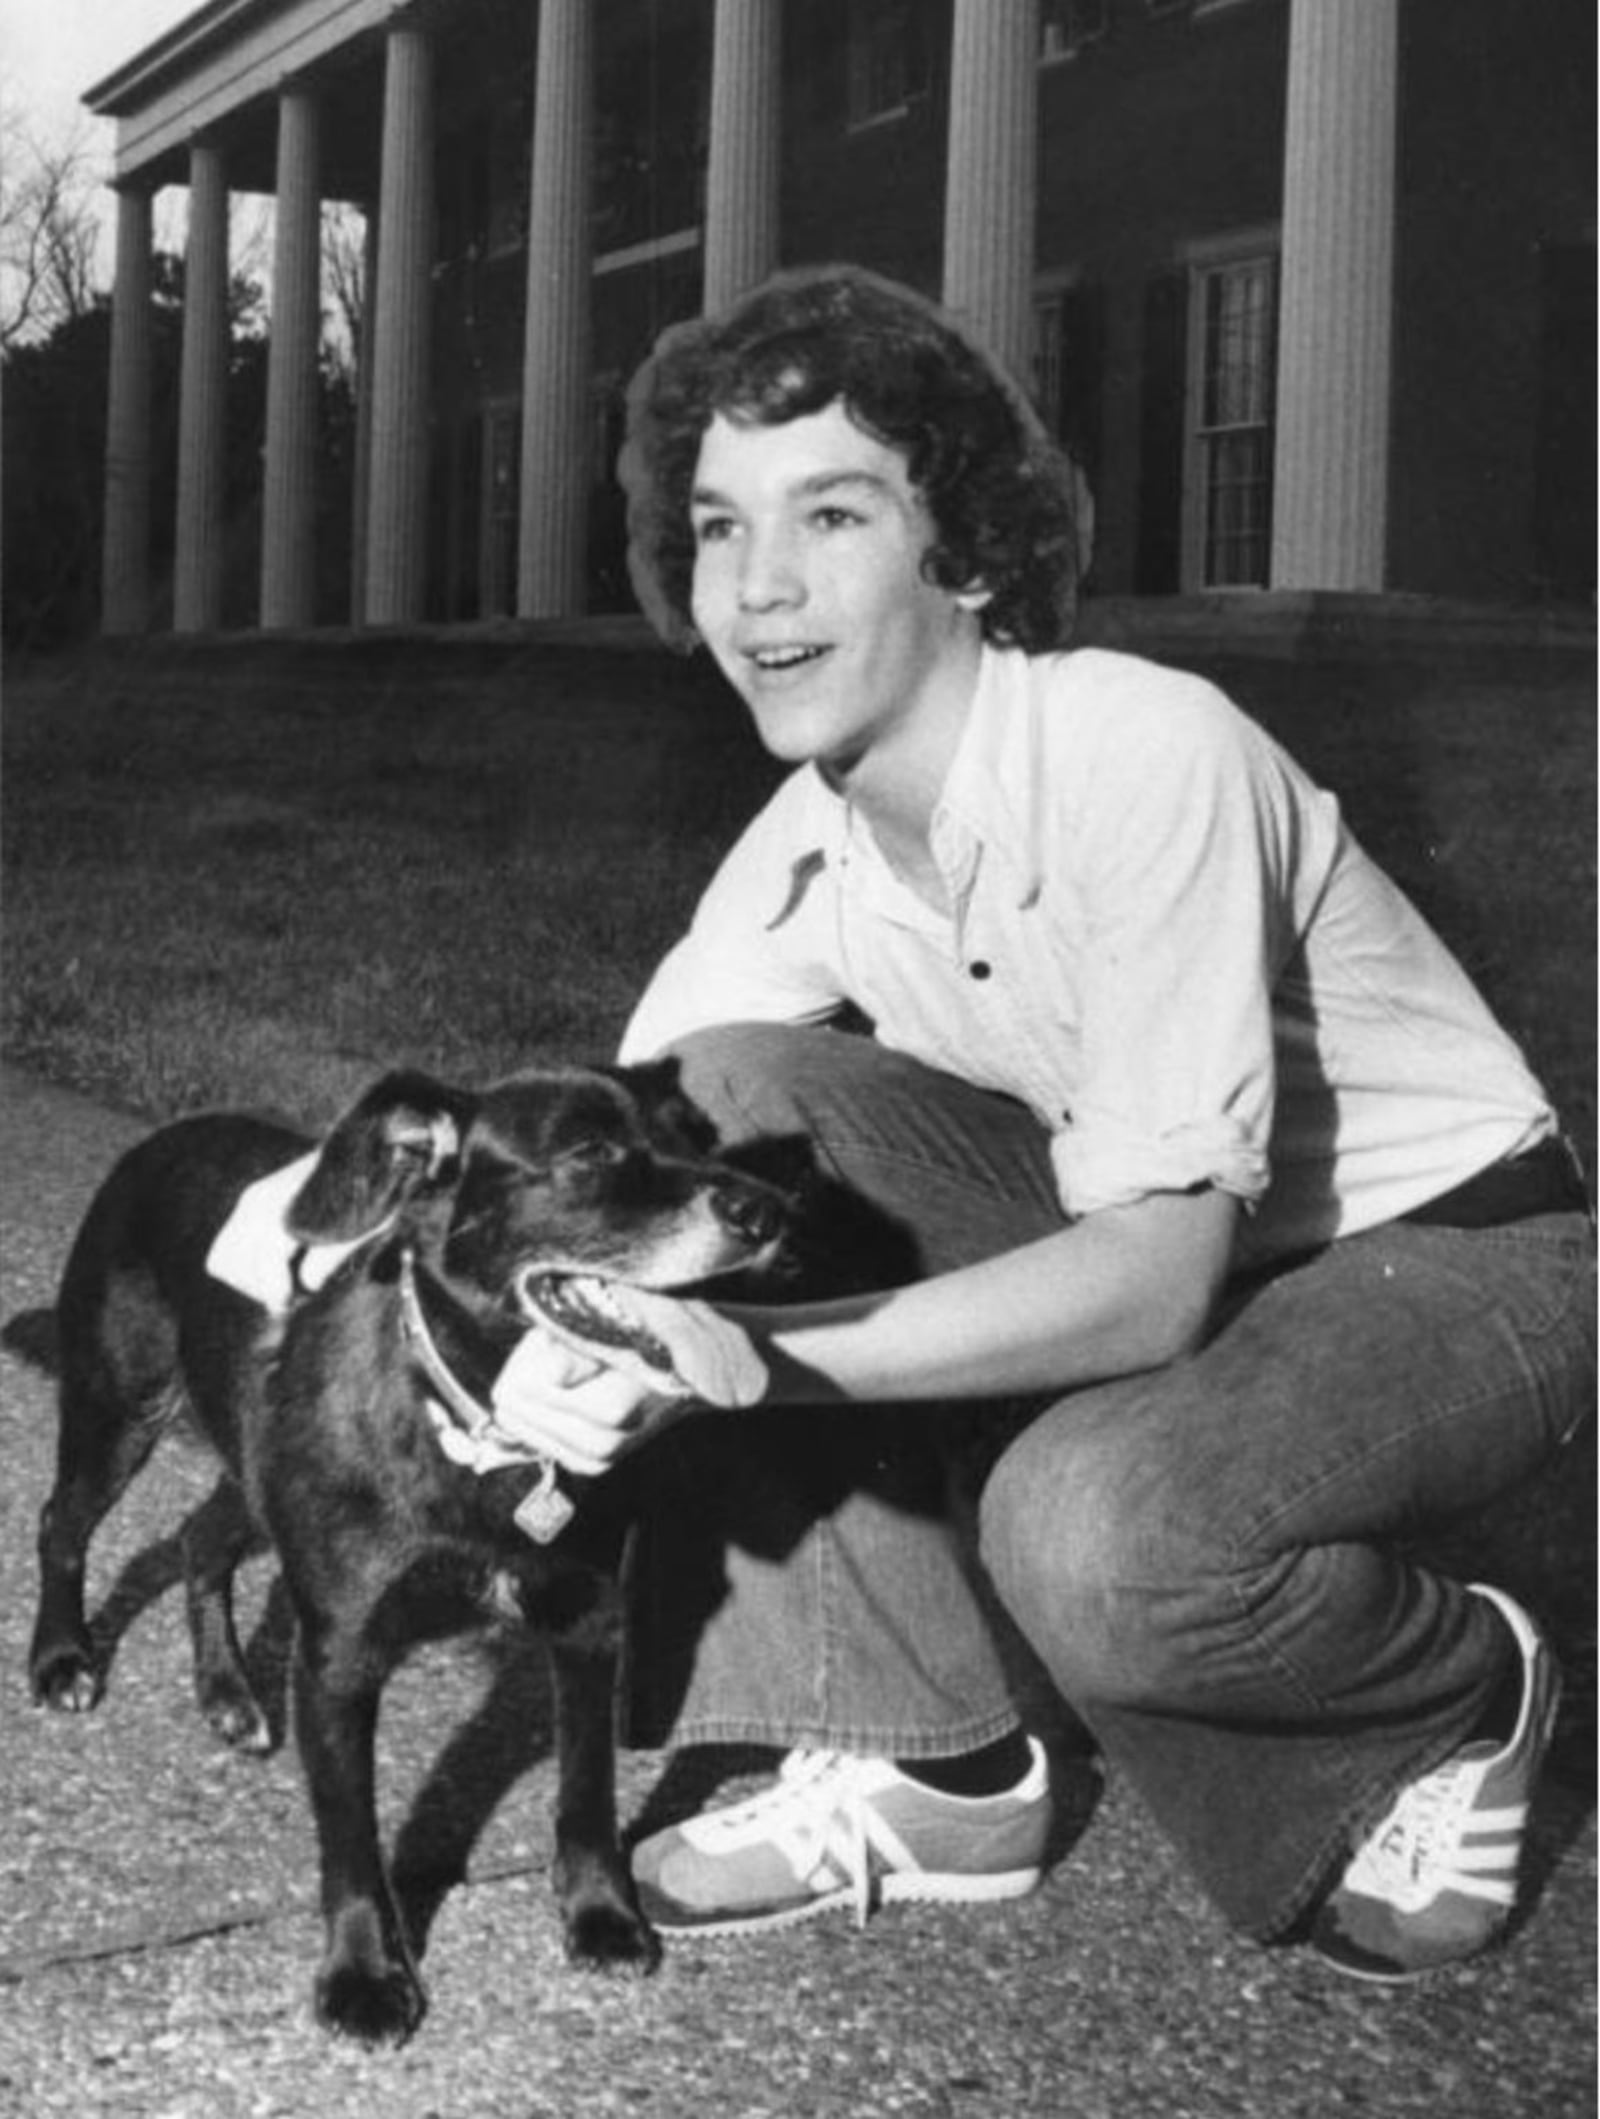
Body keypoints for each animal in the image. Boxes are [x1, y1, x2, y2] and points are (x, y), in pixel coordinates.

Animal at [28, 1067, 792, 2042]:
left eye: (703, 1138)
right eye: (587, 1151)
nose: (769, 1209)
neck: (485, 1435)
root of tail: (162, 1139)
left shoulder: (588, 1623)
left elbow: (588, 1792)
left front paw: (601, 1916)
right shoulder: (341, 1657)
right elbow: (353, 1839)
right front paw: (363, 1975)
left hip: (252, 1458)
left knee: (202, 1540)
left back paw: (229, 1693)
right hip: (118, 1408)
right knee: (62, 1523)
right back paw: (62, 1657)